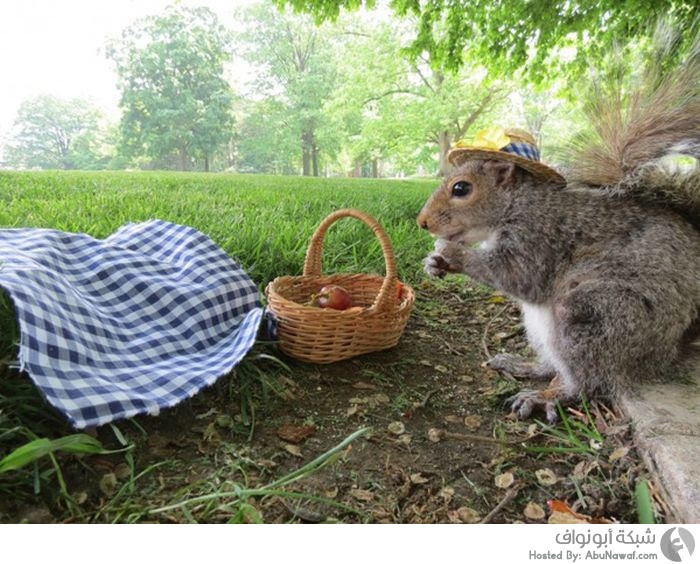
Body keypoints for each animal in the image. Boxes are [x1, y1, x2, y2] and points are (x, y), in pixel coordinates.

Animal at [416, 26, 700, 424]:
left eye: (461, 188)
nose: (422, 222)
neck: (519, 204)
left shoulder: (541, 237)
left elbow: (520, 276)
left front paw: (453, 253)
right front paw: (433, 263)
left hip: (597, 316)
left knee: (589, 381)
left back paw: (549, 396)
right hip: (543, 325)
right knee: (554, 363)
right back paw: (526, 366)